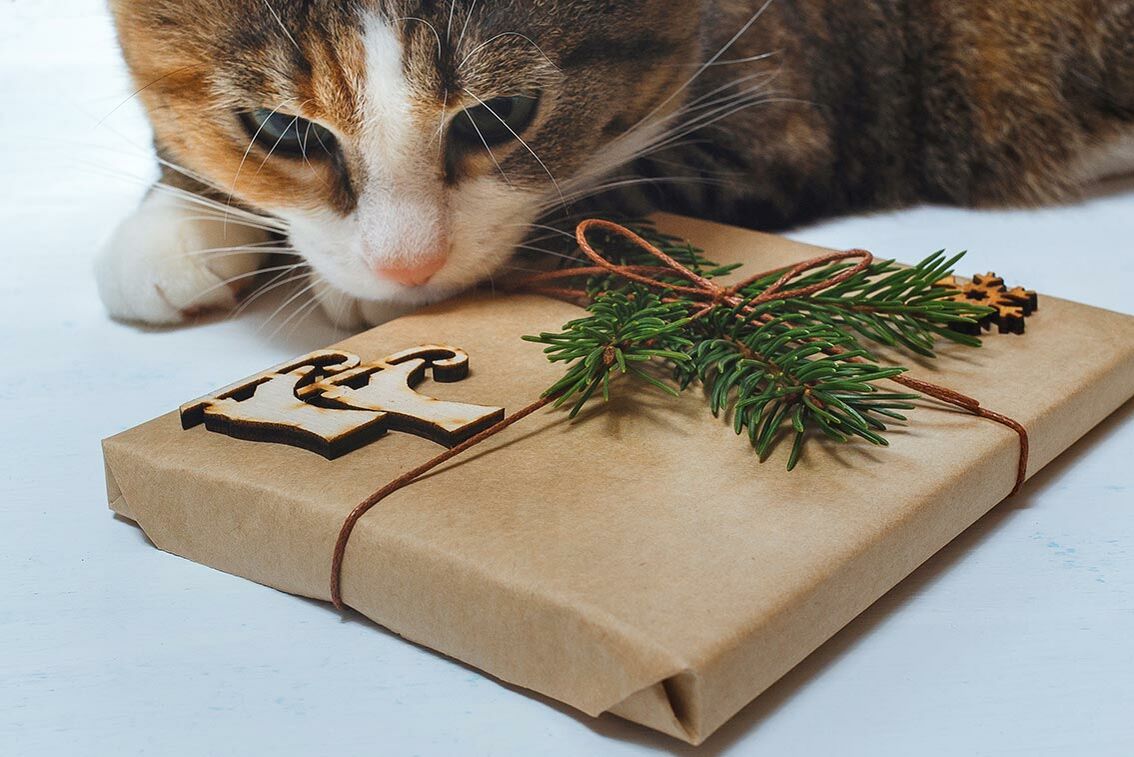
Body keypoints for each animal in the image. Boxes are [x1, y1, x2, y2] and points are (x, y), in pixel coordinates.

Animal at [99, 2, 1134, 328]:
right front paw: (178, 221)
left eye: (501, 117)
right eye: (284, 130)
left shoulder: (787, 102)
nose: (406, 263)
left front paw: (359, 292)